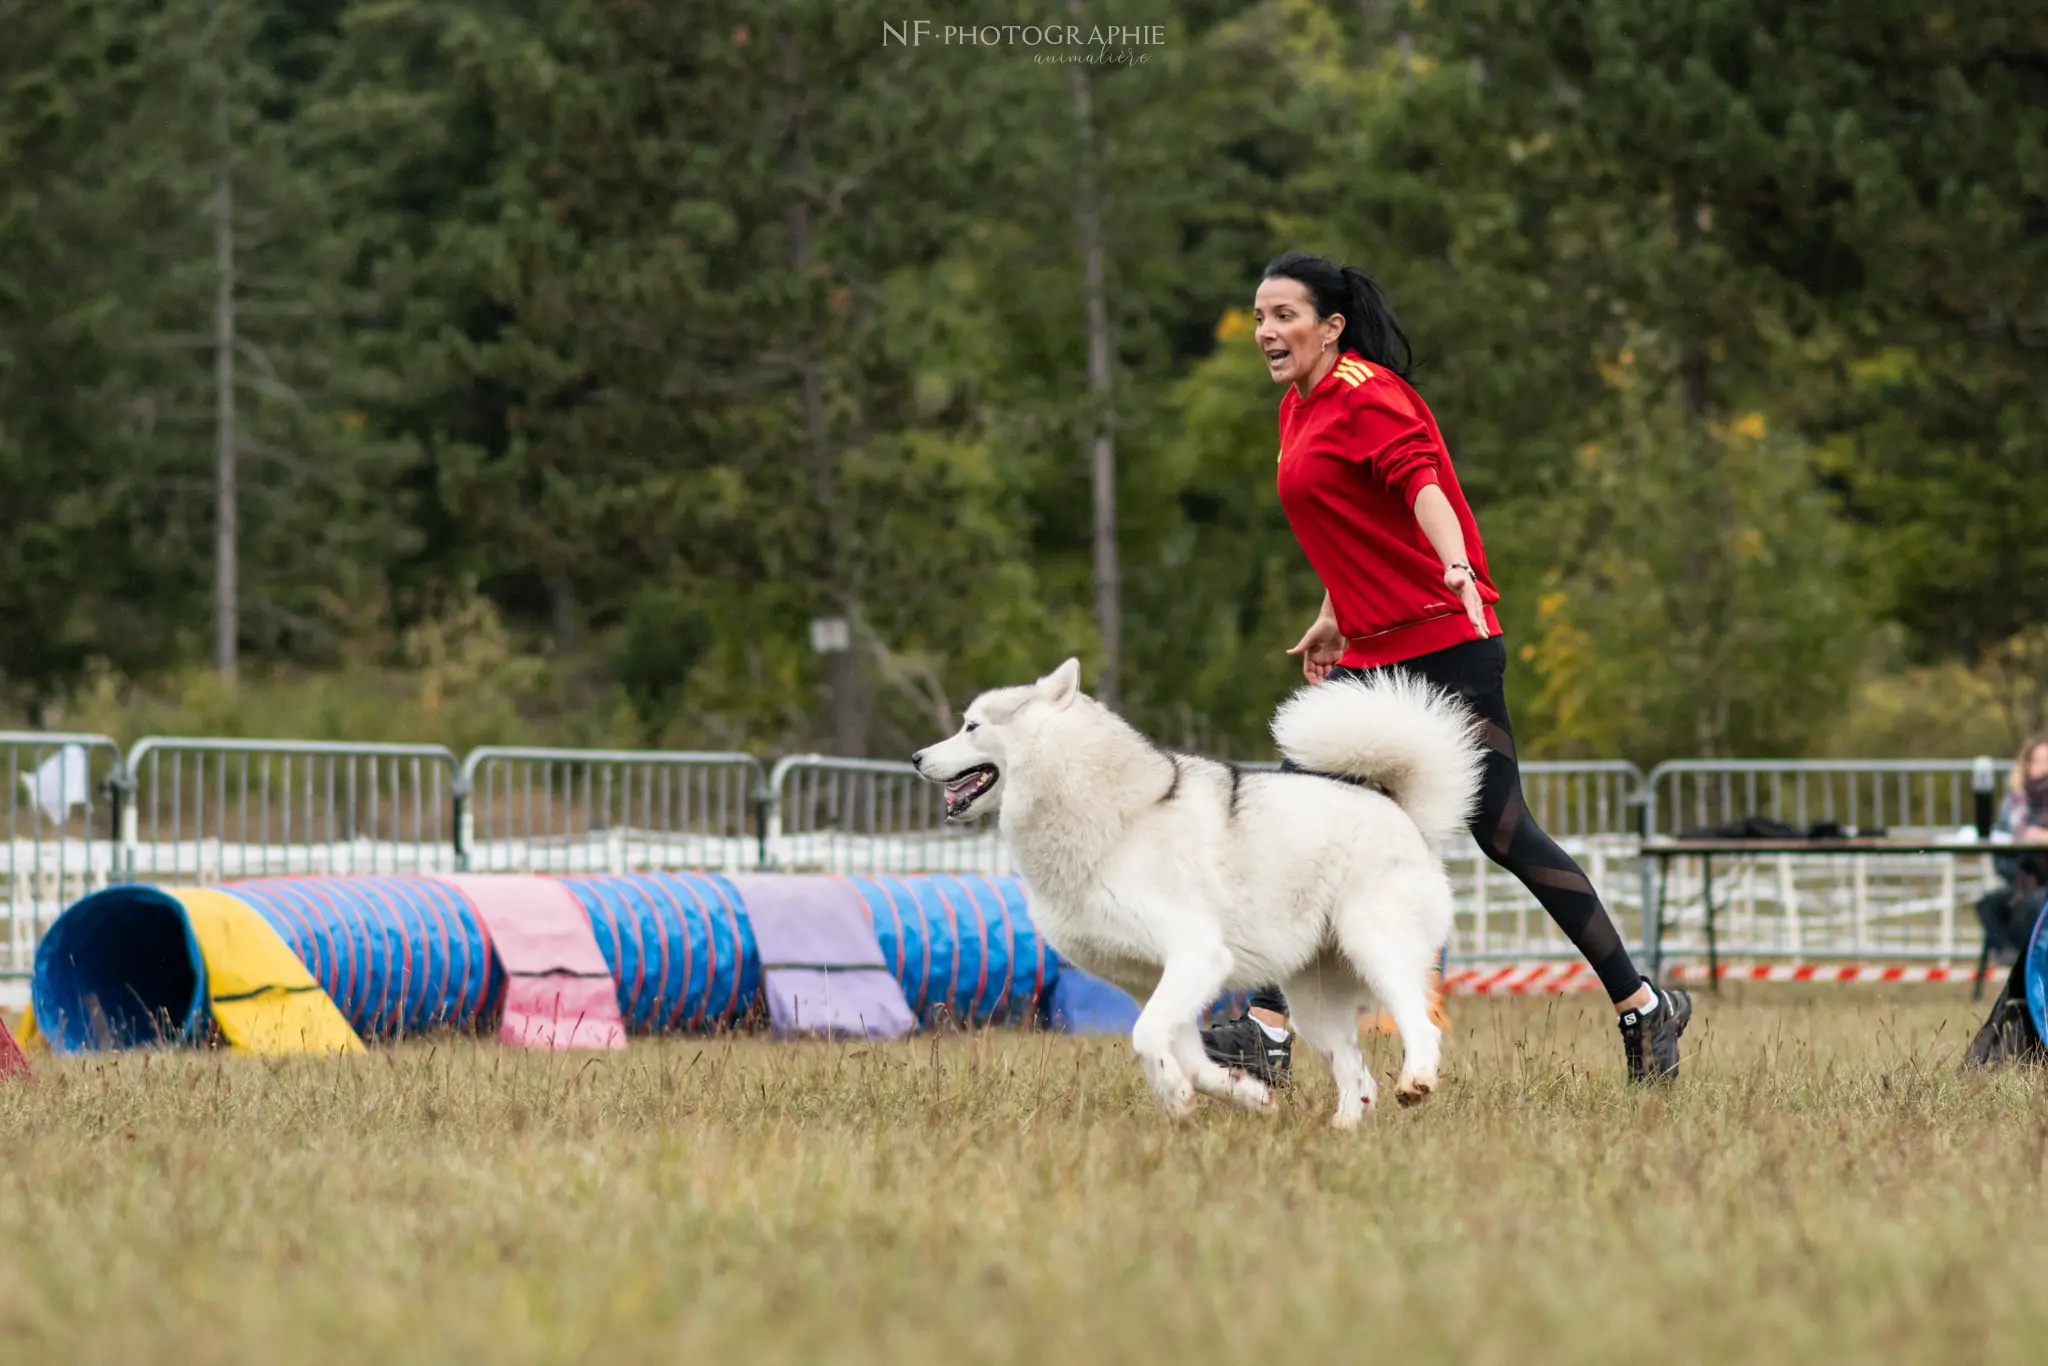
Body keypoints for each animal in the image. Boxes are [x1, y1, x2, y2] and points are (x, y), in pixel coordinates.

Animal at [921, 655, 1482, 1130]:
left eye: (971, 726)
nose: (916, 756)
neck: (1116, 820)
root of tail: (1404, 814)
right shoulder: (1153, 982)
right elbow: (1188, 1056)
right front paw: (1246, 1096)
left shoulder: (1196, 957)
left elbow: (1146, 1036)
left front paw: (1174, 1094)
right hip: (1313, 1004)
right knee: (1358, 1077)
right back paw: (1341, 1131)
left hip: (1375, 949)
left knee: (1420, 1028)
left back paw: (1415, 1082)